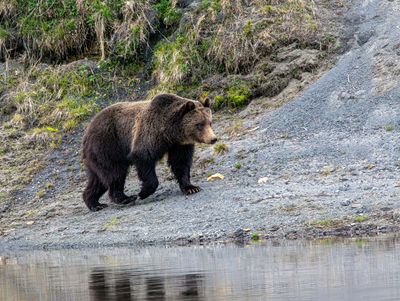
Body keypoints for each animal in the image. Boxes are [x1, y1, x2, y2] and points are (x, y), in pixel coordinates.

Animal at [82, 92, 219, 210]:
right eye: (199, 124)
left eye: (210, 122)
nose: (213, 138)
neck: (169, 132)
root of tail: (87, 130)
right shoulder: (149, 133)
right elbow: (144, 157)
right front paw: (142, 193)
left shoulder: (179, 145)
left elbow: (181, 163)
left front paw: (191, 188)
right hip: (107, 145)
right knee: (115, 172)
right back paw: (125, 198)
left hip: (96, 156)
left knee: (98, 180)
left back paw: (94, 203)